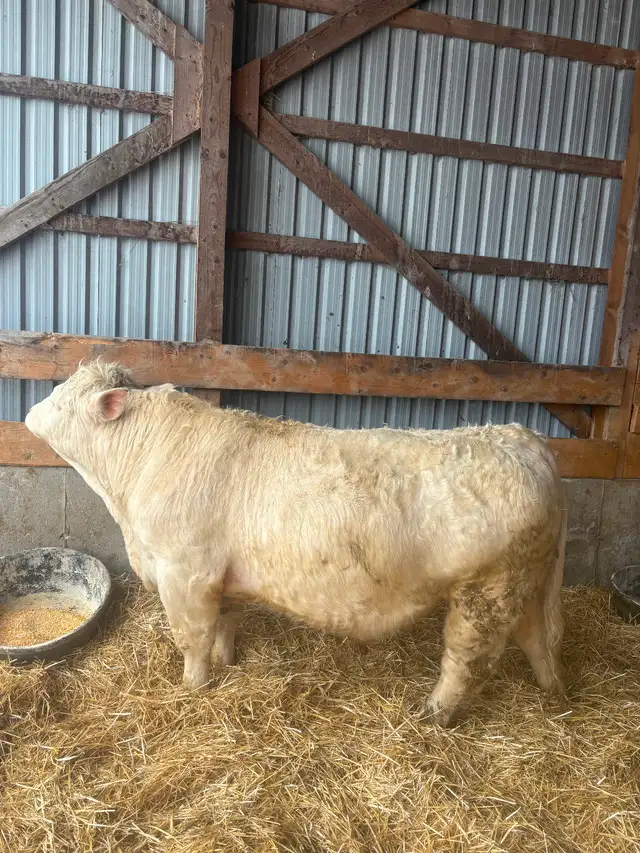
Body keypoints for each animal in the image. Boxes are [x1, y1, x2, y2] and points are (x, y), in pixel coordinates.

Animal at [25, 360, 567, 726]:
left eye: (64, 395)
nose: (29, 412)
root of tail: (521, 438)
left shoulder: (185, 572)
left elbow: (193, 639)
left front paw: (193, 689)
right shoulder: (220, 576)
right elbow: (225, 625)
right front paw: (227, 664)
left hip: (485, 592)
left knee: (466, 660)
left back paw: (433, 714)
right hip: (524, 584)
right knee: (537, 638)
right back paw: (555, 694)